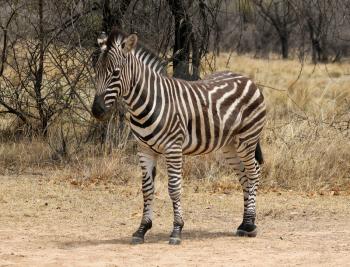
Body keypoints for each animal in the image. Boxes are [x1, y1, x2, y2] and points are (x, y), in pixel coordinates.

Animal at [91, 28, 266, 245]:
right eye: (96, 71)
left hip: (247, 140)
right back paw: (243, 224)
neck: (148, 102)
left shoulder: (173, 148)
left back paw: (250, 224)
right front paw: (142, 229)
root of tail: (247, 79)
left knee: (254, 172)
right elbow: (147, 189)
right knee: (243, 176)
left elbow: (174, 188)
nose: (96, 111)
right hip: (230, 146)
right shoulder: (144, 149)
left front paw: (176, 230)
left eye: (115, 73)